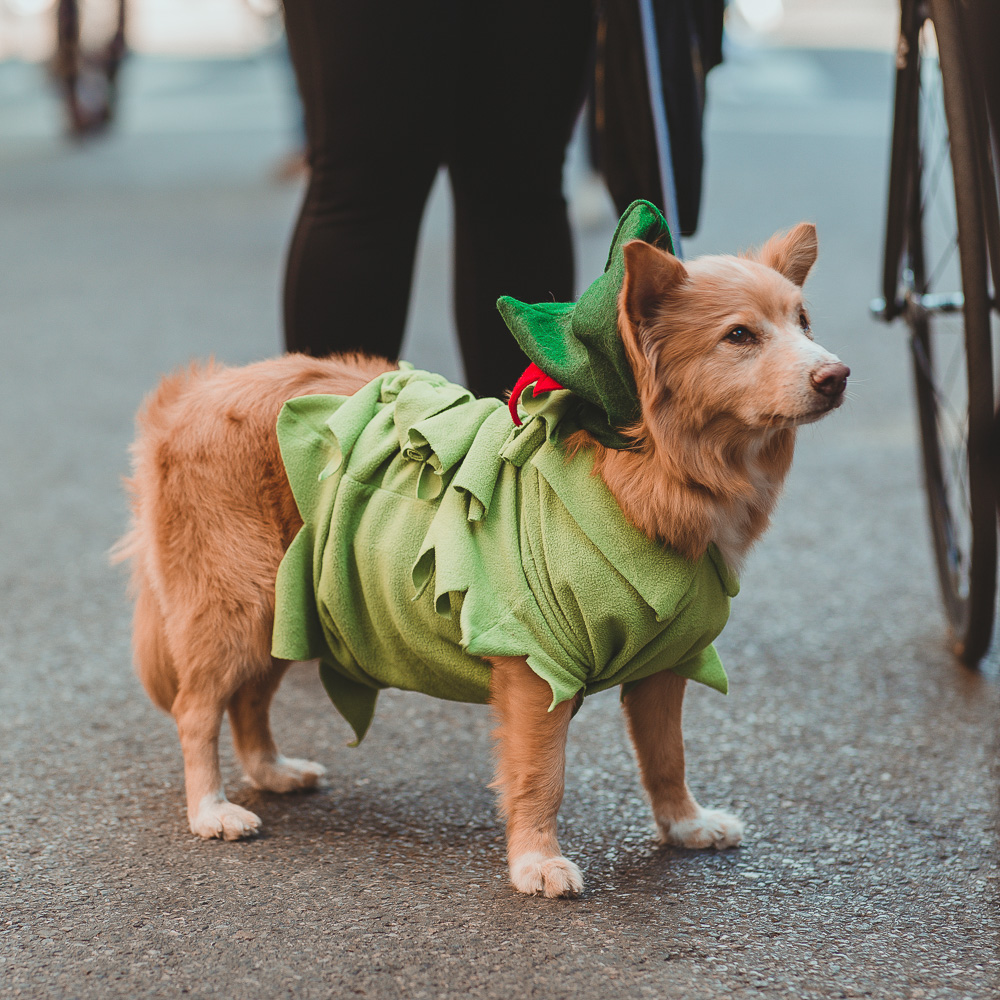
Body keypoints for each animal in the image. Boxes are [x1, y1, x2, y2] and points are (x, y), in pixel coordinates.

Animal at [117, 225, 848, 900]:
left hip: (291, 608)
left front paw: (684, 825)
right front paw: (536, 862)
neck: (647, 470)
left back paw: (270, 770)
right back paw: (211, 809)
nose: (836, 376)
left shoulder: (665, 663)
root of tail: (191, 394)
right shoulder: (536, 664)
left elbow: (668, 756)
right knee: (196, 708)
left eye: (803, 322)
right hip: (238, 604)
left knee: (248, 699)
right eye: (740, 336)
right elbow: (541, 776)